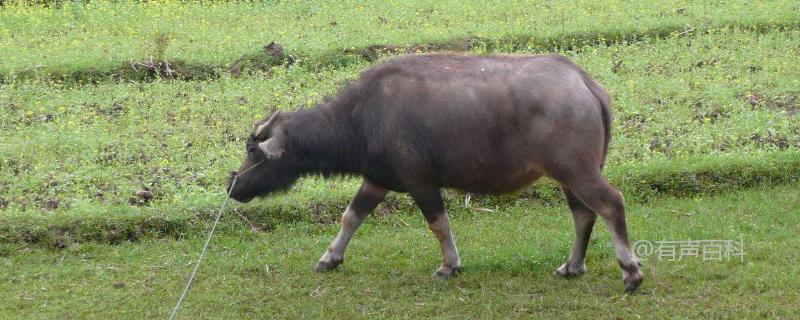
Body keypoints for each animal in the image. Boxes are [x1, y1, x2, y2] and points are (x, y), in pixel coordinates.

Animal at [225, 53, 644, 292]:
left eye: (252, 151)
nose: (233, 184)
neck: (362, 118)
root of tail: (586, 83)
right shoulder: (377, 179)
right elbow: (350, 217)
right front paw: (330, 258)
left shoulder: (420, 181)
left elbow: (438, 223)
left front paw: (449, 265)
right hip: (570, 175)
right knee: (583, 214)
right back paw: (571, 266)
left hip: (577, 169)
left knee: (610, 204)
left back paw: (630, 272)